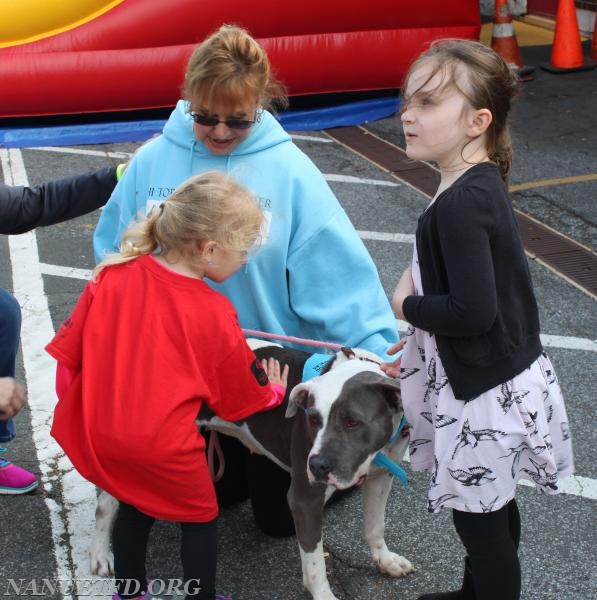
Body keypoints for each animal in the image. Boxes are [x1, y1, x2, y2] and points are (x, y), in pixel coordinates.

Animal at [89, 340, 414, 596]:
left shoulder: (381, 476)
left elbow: (374, 525)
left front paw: (385, 559)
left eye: (352, 422)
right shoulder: (304, 499)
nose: (317, 465)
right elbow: (315, 565)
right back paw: (101, 554)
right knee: (105, 505)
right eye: (312, 420)